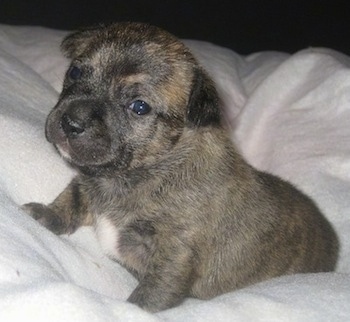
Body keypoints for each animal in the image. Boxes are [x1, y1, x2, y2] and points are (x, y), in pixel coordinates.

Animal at [21, 23, 340, 312]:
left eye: (139, 107)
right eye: (75, 72)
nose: (71, 122)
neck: (137, 173)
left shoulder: (176, 252)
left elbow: (153, 292)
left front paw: (134, 311)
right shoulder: (88, 182)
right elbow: (71, 197)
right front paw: (45, 214)